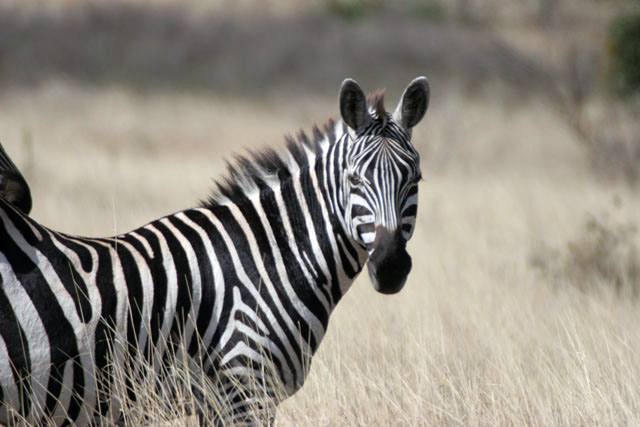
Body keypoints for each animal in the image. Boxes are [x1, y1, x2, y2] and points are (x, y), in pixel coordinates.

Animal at [0, 76, 429, 426]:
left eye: (416, 179)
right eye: (354, 179)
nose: (390, 267)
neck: (267, 262)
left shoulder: (219, 399)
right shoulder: (244, 387)